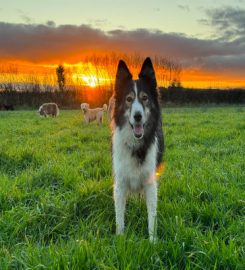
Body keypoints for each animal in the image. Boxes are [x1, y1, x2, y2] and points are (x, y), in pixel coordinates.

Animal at [112, 56, 164, 240]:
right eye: (129, 99)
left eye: (144, 98)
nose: (138, 116)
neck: (135, 144)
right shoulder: (120, 183)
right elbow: (119, 217)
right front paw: (120, 239)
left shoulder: (150, 181)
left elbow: (152, 216)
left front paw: (152, 241)